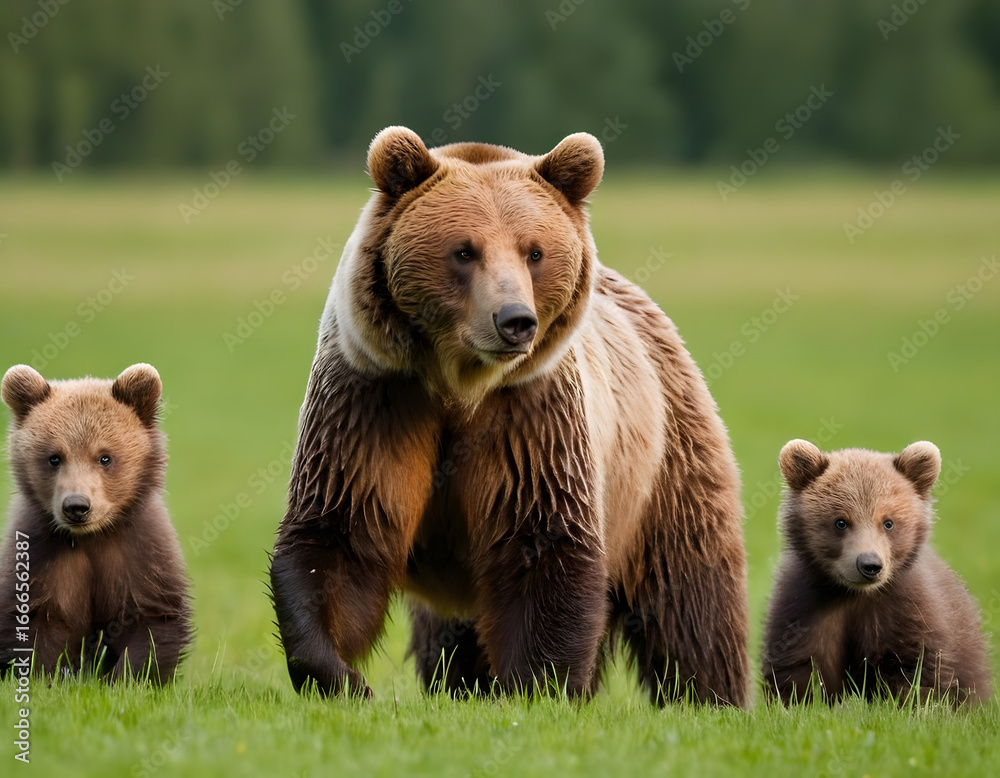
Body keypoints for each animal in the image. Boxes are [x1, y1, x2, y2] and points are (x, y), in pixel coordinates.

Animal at [0, 363, 193, 683]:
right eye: (54, 457)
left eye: (105, 457)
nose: (77, 506)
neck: (91, 536)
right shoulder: (41, 557)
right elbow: (36, 625)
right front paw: (45, 678)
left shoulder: (139, 553)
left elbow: (150, 622)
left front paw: (126, 679)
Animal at [270, 126, 751, 705]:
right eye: (463, 250)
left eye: (534, 251)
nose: (515, 320)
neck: (459, 387)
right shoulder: (376, 399)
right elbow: (340, 534)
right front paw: (343, 677)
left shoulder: (531, 415)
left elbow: (542, 545)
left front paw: (536, 686)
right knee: (449, 637)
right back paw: (462, 682)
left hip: (661, 467)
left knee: (690, 599)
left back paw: (710, 695)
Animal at [762, 439, 992, 705]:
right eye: (840, 521)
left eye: (888, 522)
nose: (869, 564)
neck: (854, 596)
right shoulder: (807, 609)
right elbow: (802, 670)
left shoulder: (904, 613)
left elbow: (916, 671)